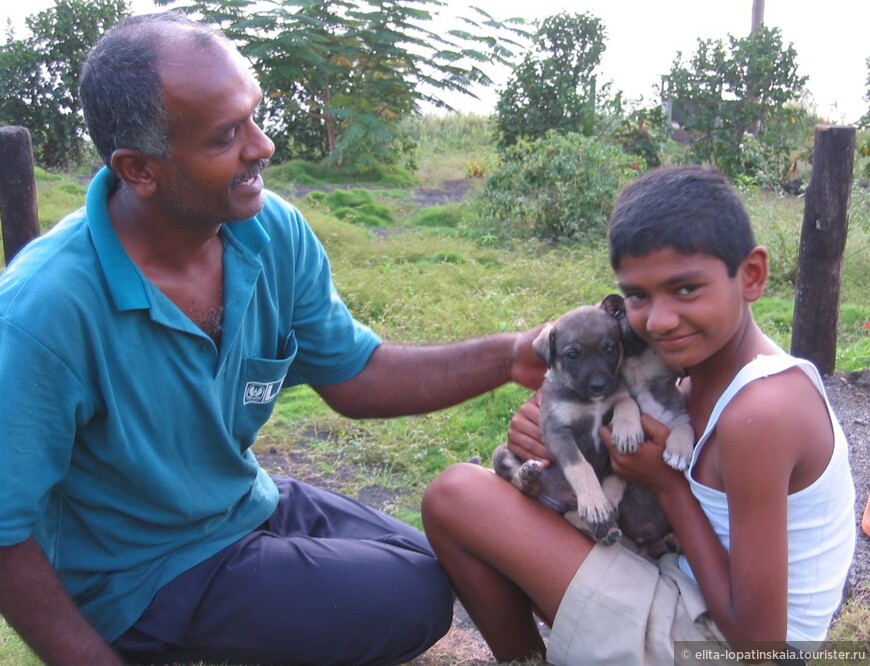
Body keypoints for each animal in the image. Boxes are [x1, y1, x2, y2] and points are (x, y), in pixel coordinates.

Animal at [498, 296, 696, 548]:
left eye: (609, 349)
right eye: (572, 355)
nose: (599, 386)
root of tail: (557, 501)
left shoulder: (619, 402)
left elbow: (628, 404)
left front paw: (628, 432)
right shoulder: (558, 431)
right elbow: (580, 466)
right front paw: (594, 502)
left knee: (576, 512)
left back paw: (603, 528)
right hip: (502, 453)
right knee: (522, 487)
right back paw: (529, 477)